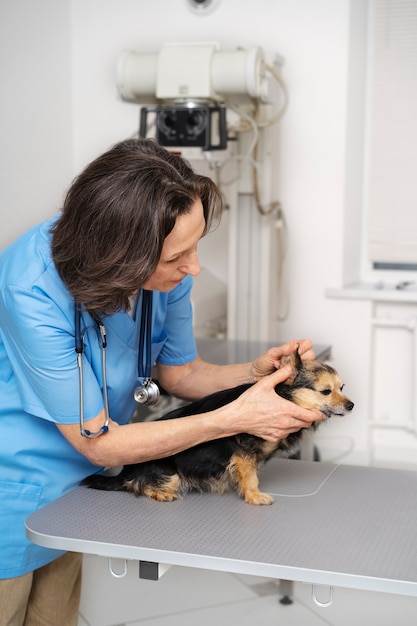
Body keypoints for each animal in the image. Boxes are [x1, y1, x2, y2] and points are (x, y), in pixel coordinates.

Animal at [83, 348, 352, 504]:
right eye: (326, 391)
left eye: (342, 388)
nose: (351, 405)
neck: (281, 395)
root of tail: (125, 472)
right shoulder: (244, 453)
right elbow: (250, 477)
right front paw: (255, 496)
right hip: (168, 474)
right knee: (137, 486)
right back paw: (161, 492)